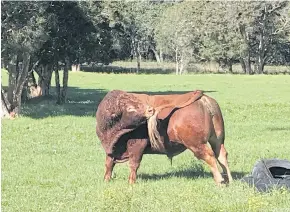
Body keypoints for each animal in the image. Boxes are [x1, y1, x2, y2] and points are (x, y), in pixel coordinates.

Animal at [95, 89, 233, 186]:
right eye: (129, 107)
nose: (150, 110)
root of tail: (203, 99)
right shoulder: (111, 149)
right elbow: (109, 164)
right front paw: (106, 180)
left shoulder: (137, 146)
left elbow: (134, 164)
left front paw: (131, 182)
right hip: (217, 139)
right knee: (221, 155)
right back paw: (229, 180)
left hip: (197, 145)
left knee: (210, 157)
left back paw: (220, 181)